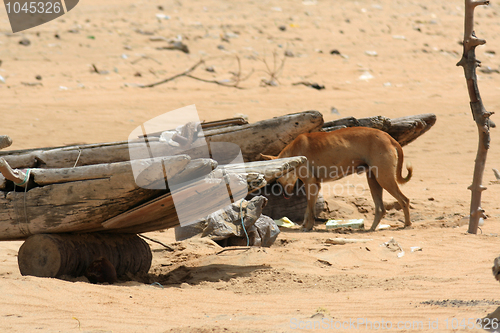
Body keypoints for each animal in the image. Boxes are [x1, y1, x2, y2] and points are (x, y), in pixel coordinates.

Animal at [260, 127, 412, 231]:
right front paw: (305, 225)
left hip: (384, 179)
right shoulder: (315, 185)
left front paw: (308, 227)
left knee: (404, 200)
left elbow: (310, 211)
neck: (294, 153)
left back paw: (407, 224)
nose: (285, 195)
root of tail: (388, 136)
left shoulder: (311, 185)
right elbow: (308, 211)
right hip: (374, 180)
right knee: (381, 209)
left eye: (278, 180)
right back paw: (371, 229)